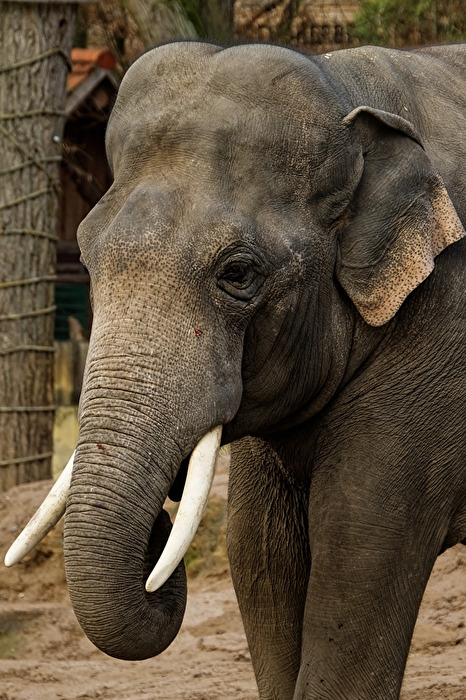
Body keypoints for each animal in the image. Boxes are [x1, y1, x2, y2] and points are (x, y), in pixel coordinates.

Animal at [5, 41, 466, 699]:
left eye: (238, 274)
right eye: (87, 260)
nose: (158, 525)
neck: (348, 90)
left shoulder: (437, 333)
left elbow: (361, 552)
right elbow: (259, 551)